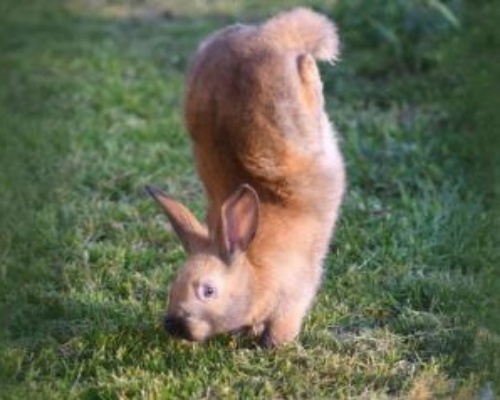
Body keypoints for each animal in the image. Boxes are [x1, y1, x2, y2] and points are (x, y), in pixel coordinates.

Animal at [146, 7, 346, 348]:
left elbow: (282, 326)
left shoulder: (293, 299)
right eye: (174, 284)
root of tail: (269, 35)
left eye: (208, 291)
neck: (254, 269)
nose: (173, 325)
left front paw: (271, 347)